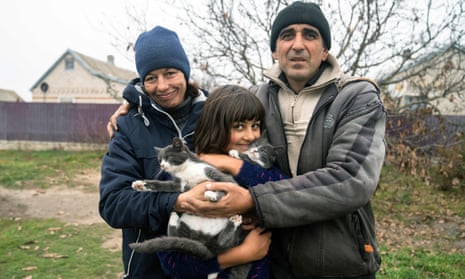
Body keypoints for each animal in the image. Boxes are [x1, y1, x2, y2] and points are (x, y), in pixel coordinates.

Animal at [129, 136, 278, 278]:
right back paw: (173, 216)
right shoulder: (179, 185)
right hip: (187, 227)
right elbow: (161, 185)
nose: (162, 166)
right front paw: (140, 185)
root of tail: (205, 243)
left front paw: (211, 194)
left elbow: (224, 187)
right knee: (179, 236)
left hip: (237, 233)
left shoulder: (220, 176)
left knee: (224, 245)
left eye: (168, 157)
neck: (185, 170)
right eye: (160, 160)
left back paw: (233, 221)